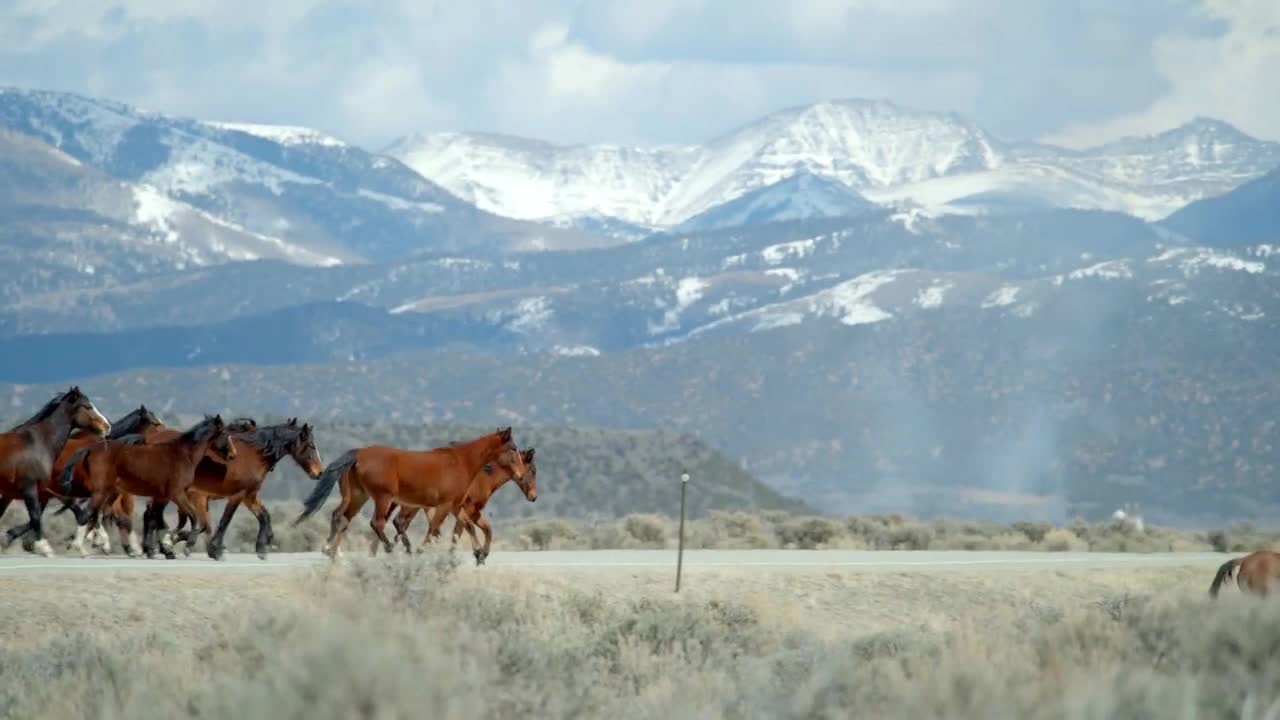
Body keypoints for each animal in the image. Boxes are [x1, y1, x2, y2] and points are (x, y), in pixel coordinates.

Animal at [0, 386, 110, 556]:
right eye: (87, 407)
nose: (106, 426)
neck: (38, 445)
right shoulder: (30, 488)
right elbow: (36, 517)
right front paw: (44, 547)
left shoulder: (14, 493)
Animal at [161, 415, 325, 561]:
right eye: (311, 445)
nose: (319, 473)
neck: (254, 455)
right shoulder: (232, 495)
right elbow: (223, 521)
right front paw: (214, 549)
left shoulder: (249, 496)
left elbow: (264, 516)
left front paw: (262, 547)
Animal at [293, 422, 524, 558]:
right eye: (513, 449)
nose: (521, 474)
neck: (461, 462)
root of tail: (358, 454)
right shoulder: (444, 506)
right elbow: (434, 528)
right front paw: (422, 550)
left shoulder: (455, 506)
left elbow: (469, 526)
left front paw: (480, 553)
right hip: (383, 498)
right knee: (377, 523)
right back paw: (391, 548)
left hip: (359, 497)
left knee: (341, 517)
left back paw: (331, 551)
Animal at [384, 445, 535, 563]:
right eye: (533, 471)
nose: (533, 497)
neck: (484, 478)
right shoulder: (467, 508)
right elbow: (461, 531)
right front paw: (474, 554)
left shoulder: (473, 511)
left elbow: (485, 529)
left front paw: (482, 554)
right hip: (412, 506)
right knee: (400, 522)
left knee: (404, 524)